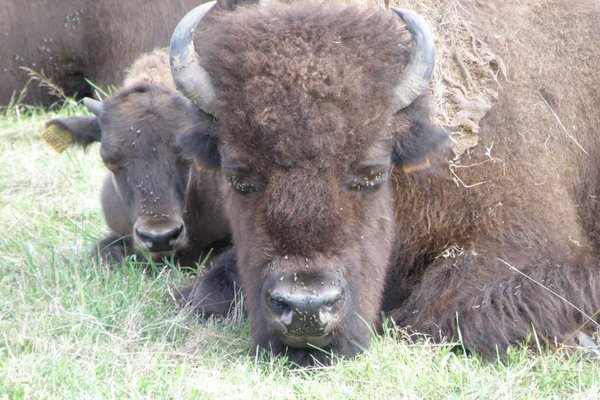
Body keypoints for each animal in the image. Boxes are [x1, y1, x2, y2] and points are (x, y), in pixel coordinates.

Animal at [168, 0, 600, 366]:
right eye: (238, 178)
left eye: (372, 172)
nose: (307, 309)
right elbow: (206, 293)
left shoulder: (531, 244)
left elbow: (445, 315)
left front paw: (578, 339)